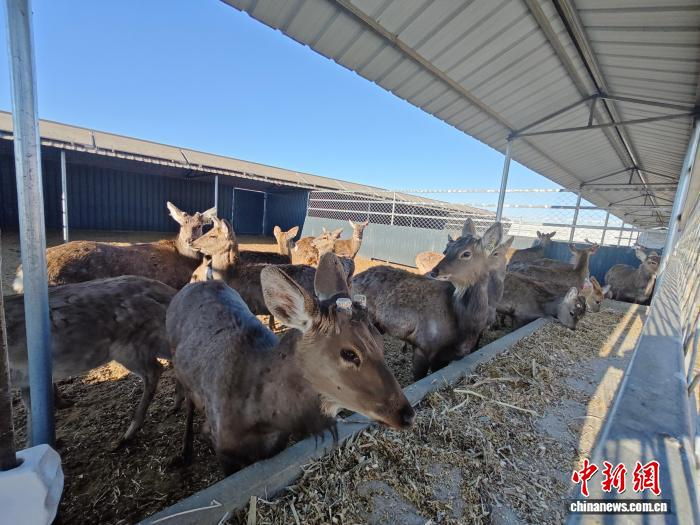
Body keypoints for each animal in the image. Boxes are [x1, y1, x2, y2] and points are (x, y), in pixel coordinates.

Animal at [5, 275, 175, 447]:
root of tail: (167, 292)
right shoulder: (26, 381)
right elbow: (31, 409)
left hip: (131, 347)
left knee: (155, 371)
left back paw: (128, 434)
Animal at [167, 253, 414, 474]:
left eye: (381, 342)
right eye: (349, 353)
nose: (407, 414)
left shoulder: (276, 446)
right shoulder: (223, 448)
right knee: (189, 404)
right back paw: (184, 453)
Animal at [353, 221, 502, 380]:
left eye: (466, 253)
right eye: (446, 250)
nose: (434, 271)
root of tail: (355, 277)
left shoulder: (444, 357)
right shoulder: (423, 346)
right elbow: (418, 377)